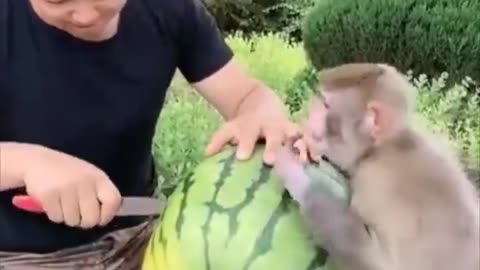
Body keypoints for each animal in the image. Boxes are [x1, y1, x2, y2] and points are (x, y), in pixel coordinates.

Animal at [274, 62, 480, 270]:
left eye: (325, 105)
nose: (307, 113)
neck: (377, 150)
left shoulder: (377, 184)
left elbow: (376, 262)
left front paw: (294, 172)